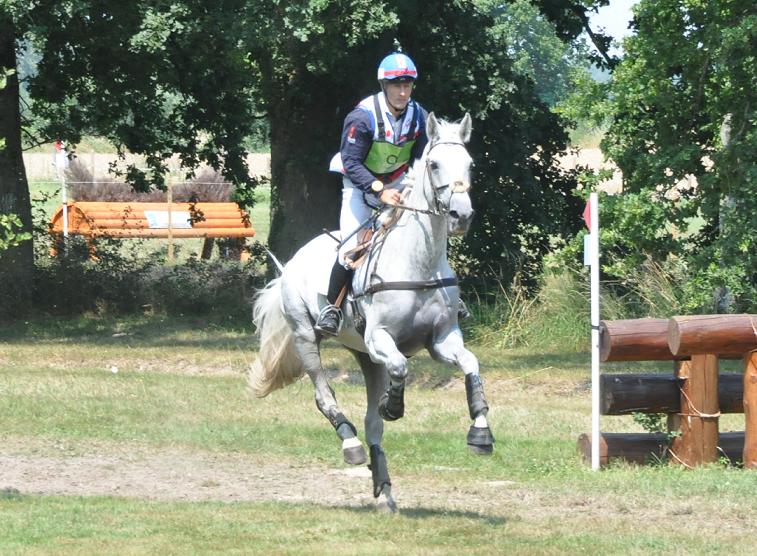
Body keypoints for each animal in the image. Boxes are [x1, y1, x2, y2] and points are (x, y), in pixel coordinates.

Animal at [251, 114, 494, 512]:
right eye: (434, 164)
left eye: (470, 164)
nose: (462, 215)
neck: (419, 262)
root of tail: (293, 261)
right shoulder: (381, 337)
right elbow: (401, 365)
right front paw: (393, 405)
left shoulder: (442, 340)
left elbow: (470, 365)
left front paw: (481, 432)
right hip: (305, 335)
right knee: (324, 393)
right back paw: (350, 443)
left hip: (364, 355)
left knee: (372, 425)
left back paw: (385, 492)